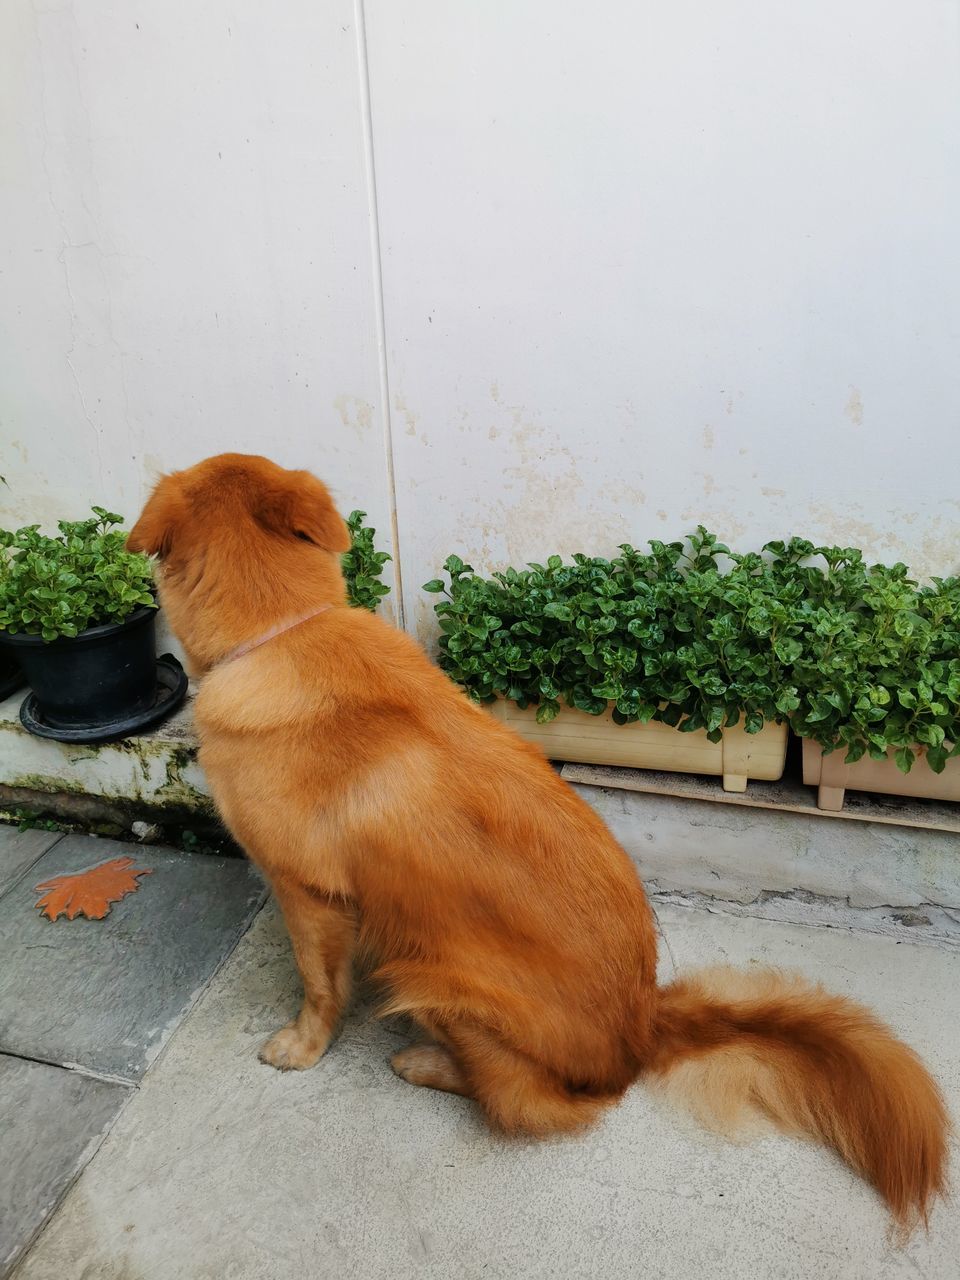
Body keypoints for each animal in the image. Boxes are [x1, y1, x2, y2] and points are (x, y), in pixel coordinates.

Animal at [131, 455, 952, 1233]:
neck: (285, 628)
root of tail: (643, 1027)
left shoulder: (307, 893)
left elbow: (320, 985)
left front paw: (301, 1046)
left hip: (437, 977)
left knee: (531, 1103)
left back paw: (426, 1062)